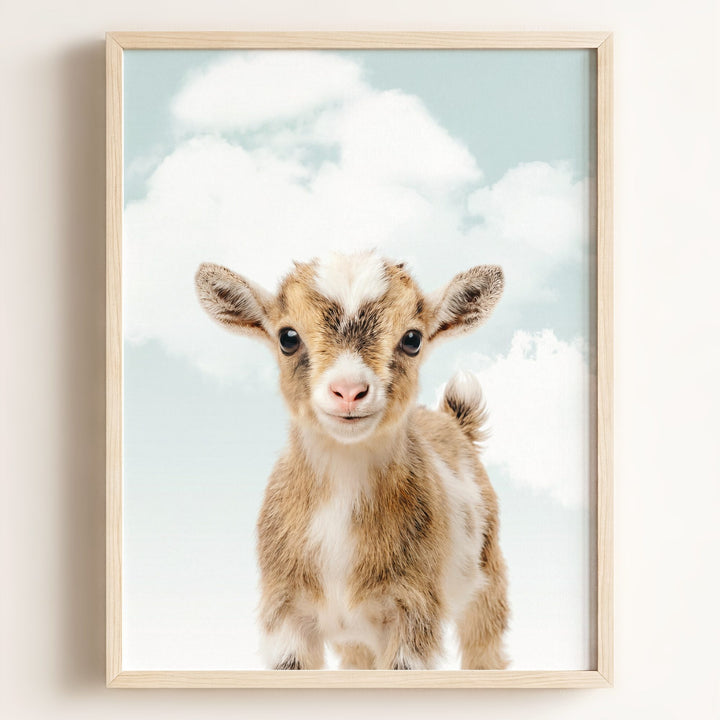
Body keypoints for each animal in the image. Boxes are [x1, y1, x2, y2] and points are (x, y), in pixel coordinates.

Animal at [195, 252, 509, 670]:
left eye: (413, 339)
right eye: (287, 337)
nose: (348, 391)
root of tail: (453, 420)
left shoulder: (414, 610)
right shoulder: (285, 613)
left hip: (488, 577)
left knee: (485, 644)